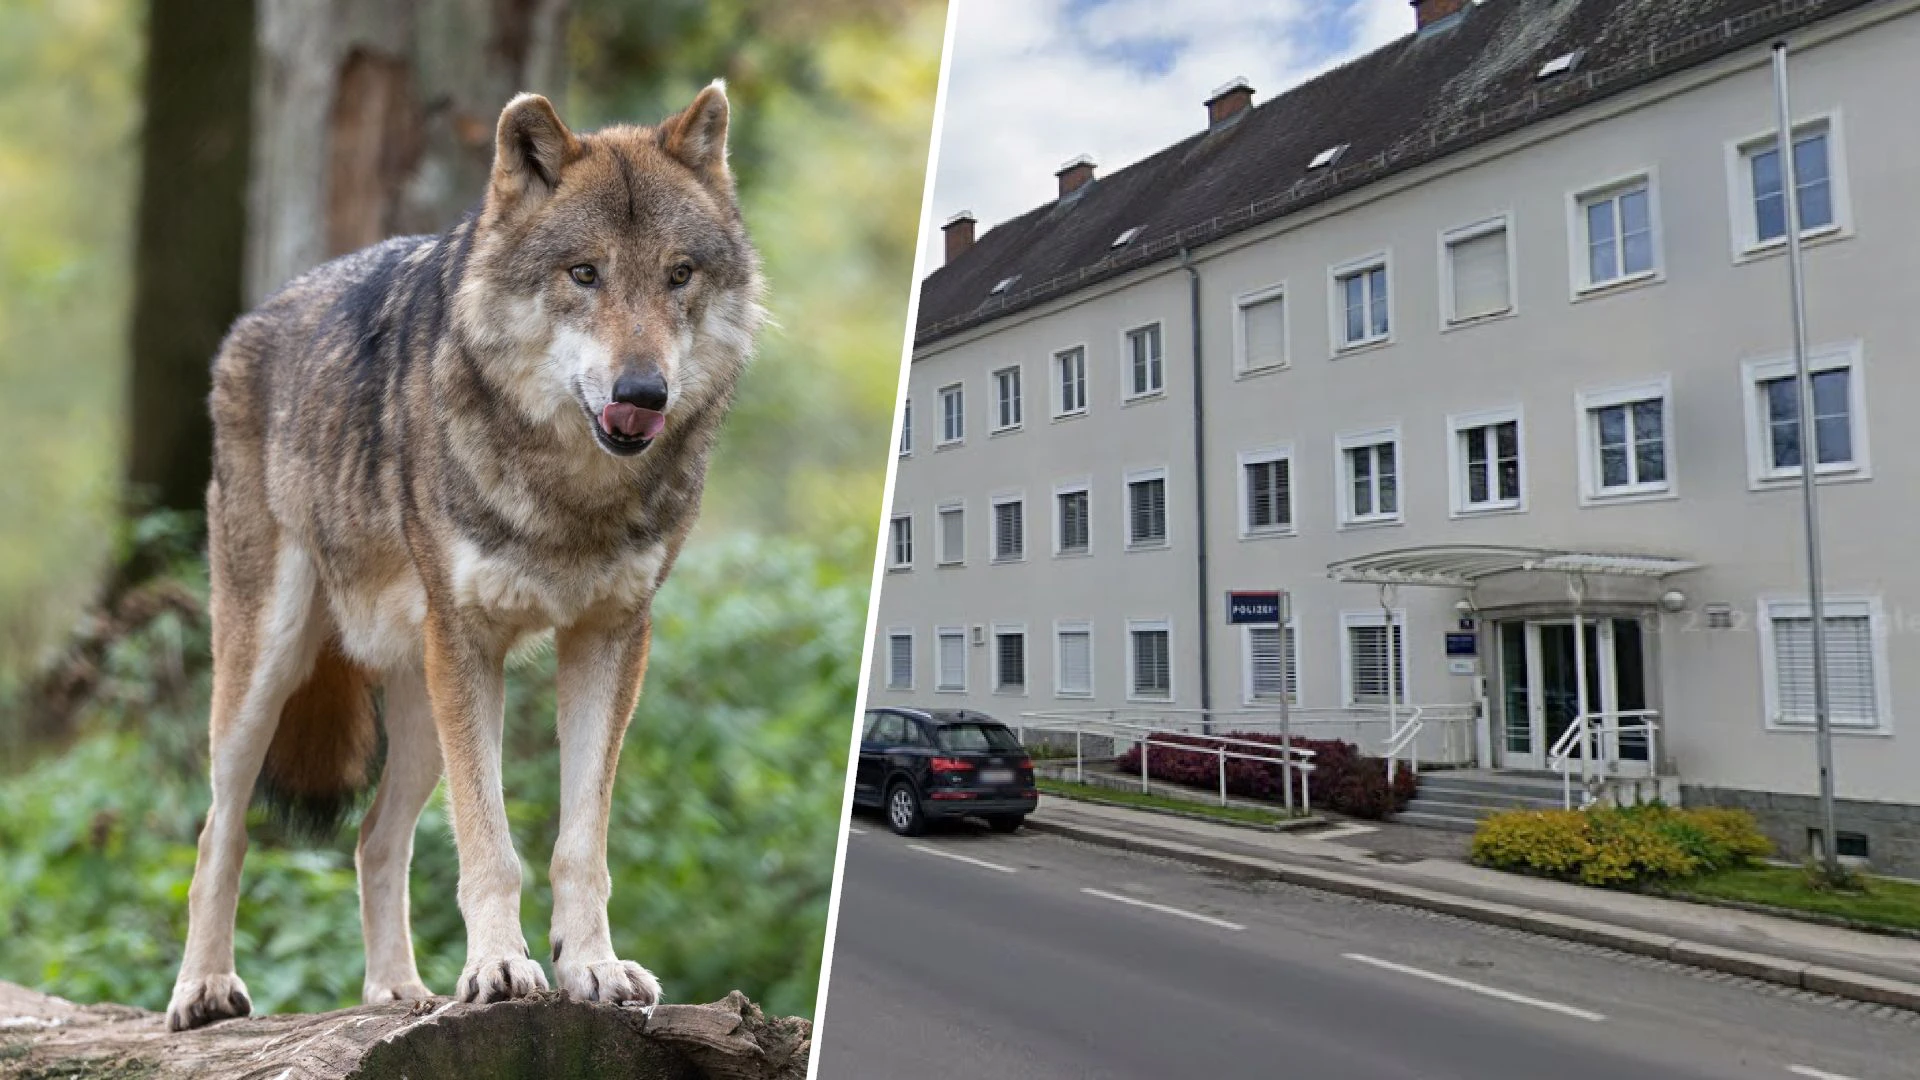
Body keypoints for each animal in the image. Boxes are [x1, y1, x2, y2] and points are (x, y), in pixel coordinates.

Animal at [164, 83, 764, 1031]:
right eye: (584, 274)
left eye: (679, 275)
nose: (643, 392)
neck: (571, 497)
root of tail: (250, 322)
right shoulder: (471, 642)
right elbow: (491, 844)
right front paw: (500, 969)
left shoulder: (610, 638)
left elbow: (578, 845)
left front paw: (593, 968)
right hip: (272, 670)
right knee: (219, 828)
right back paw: (203, 991)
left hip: (419, 706)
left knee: (375, 837)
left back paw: (397, 992)